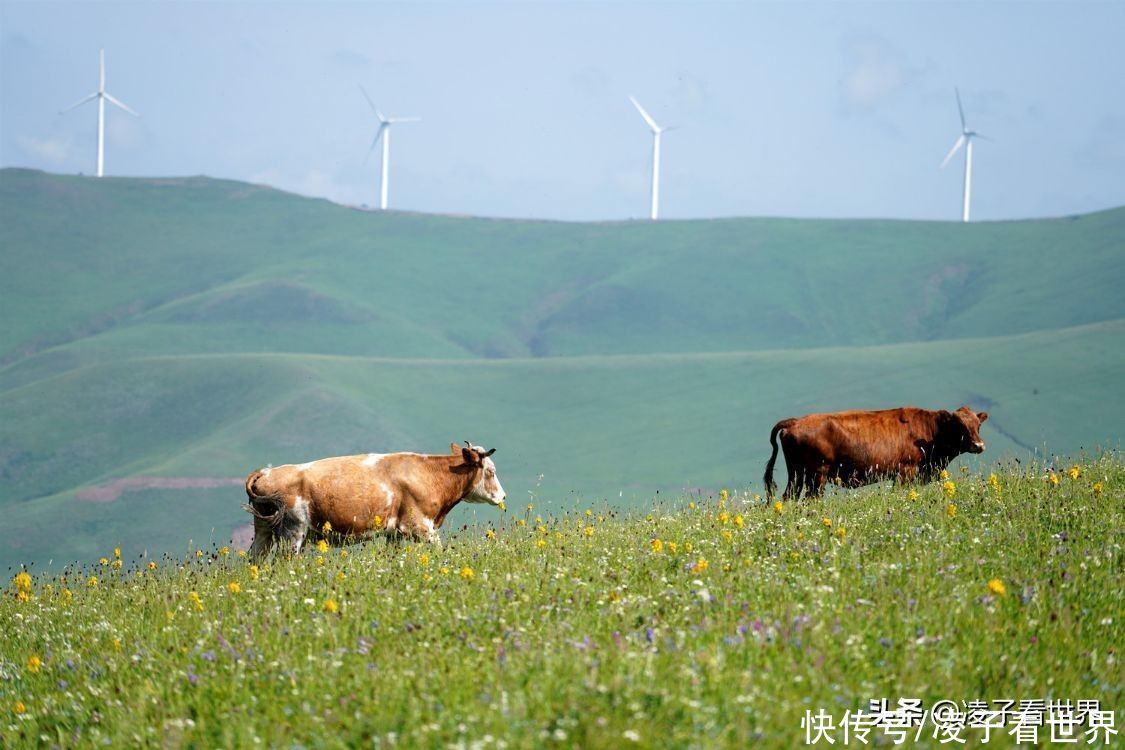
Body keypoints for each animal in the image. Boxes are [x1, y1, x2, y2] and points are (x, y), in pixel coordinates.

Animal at [248, 440, 508, 557]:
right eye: (491, 471)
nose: (503, 496)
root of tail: (266, 472)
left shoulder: (395, 532)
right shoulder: (421, 526)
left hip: (264, 532)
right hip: (294, 533)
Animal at [760, 404, 990, 499]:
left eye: (978, 425)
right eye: (960, 426)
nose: (979, 446)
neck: (931, 430)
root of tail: (795, 421)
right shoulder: (906, 472)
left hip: (797, 475)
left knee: (789, 497)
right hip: (817, 475)